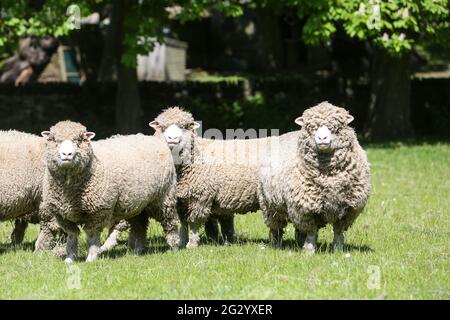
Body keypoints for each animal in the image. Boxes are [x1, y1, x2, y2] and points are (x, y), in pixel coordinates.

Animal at [39, 120, 179, 262]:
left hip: (164, 197)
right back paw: (138, 250)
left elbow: (92, 236)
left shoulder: (98, 211)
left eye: (79, 140)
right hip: (138, 204)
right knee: (139, 224)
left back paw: (174, 246)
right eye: (53, 140)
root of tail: (152, 138)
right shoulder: (61, 215)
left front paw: (91, 258)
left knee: (169, 222)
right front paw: (70, 258)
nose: (67, 154)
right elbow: (72, 236)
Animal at [256, 102, 370, 252]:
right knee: (276, 228)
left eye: (335, 127)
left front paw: (338, 250)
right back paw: (275, 244)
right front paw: (309, 251)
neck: (328, 176)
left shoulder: (348, 210)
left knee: (299, 230)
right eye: (312, 128)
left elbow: (338, 232)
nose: (322, 139)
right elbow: (311, 231)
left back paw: (299, 242)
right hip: (270, 206)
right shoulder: (305, 208)